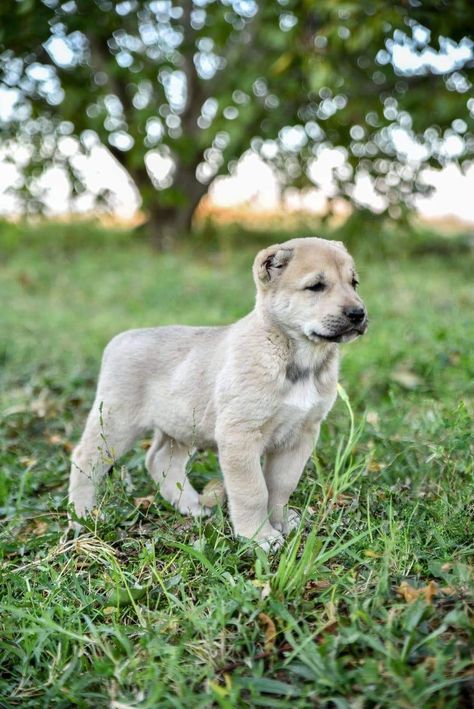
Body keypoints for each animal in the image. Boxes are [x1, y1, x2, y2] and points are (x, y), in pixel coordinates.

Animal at [69, 238, 366, 548]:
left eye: (353, 283)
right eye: (316, 286)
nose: (358, 314)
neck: (296, 359)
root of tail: (119, 339)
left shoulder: (301, 435)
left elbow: (281, 485)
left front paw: (281, 522)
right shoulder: (240, 435)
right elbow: (253, 491)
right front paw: (258, 536)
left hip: (181, 427)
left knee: (160, 461)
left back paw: (192, 506)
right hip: (116, 423)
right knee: (84, 460)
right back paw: (83, 516)